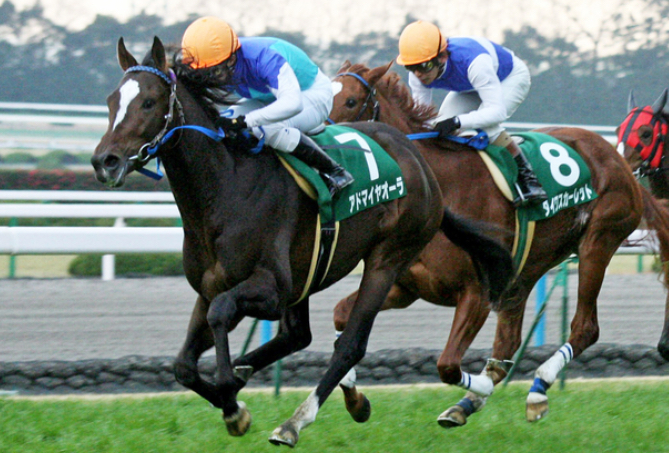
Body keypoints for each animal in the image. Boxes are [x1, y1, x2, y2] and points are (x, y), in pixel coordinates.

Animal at [90, 37, 514, 448]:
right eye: (111, 101)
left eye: (148, 102)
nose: (104, 161)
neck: (224, 189)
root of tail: (420, 161)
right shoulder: (211, 287)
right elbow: (183, 366)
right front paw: (235, 404)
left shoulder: (272, 288)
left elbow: (222, 314)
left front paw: (232, 400)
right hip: (309, 274)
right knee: (297, 335)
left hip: (388, 259)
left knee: (349, 344)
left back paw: (294, 422)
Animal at [328, 60, 669, 426]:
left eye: (351, 101)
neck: (440, 184)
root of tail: (618, 161)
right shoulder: (404, 287)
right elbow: (341, 318)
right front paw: (356, 401)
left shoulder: (476, 292)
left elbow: (447, 365)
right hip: (525, 269)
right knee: (508, 343)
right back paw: (468, 404)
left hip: (598, 242)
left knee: (584, 328)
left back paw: (536, 390)